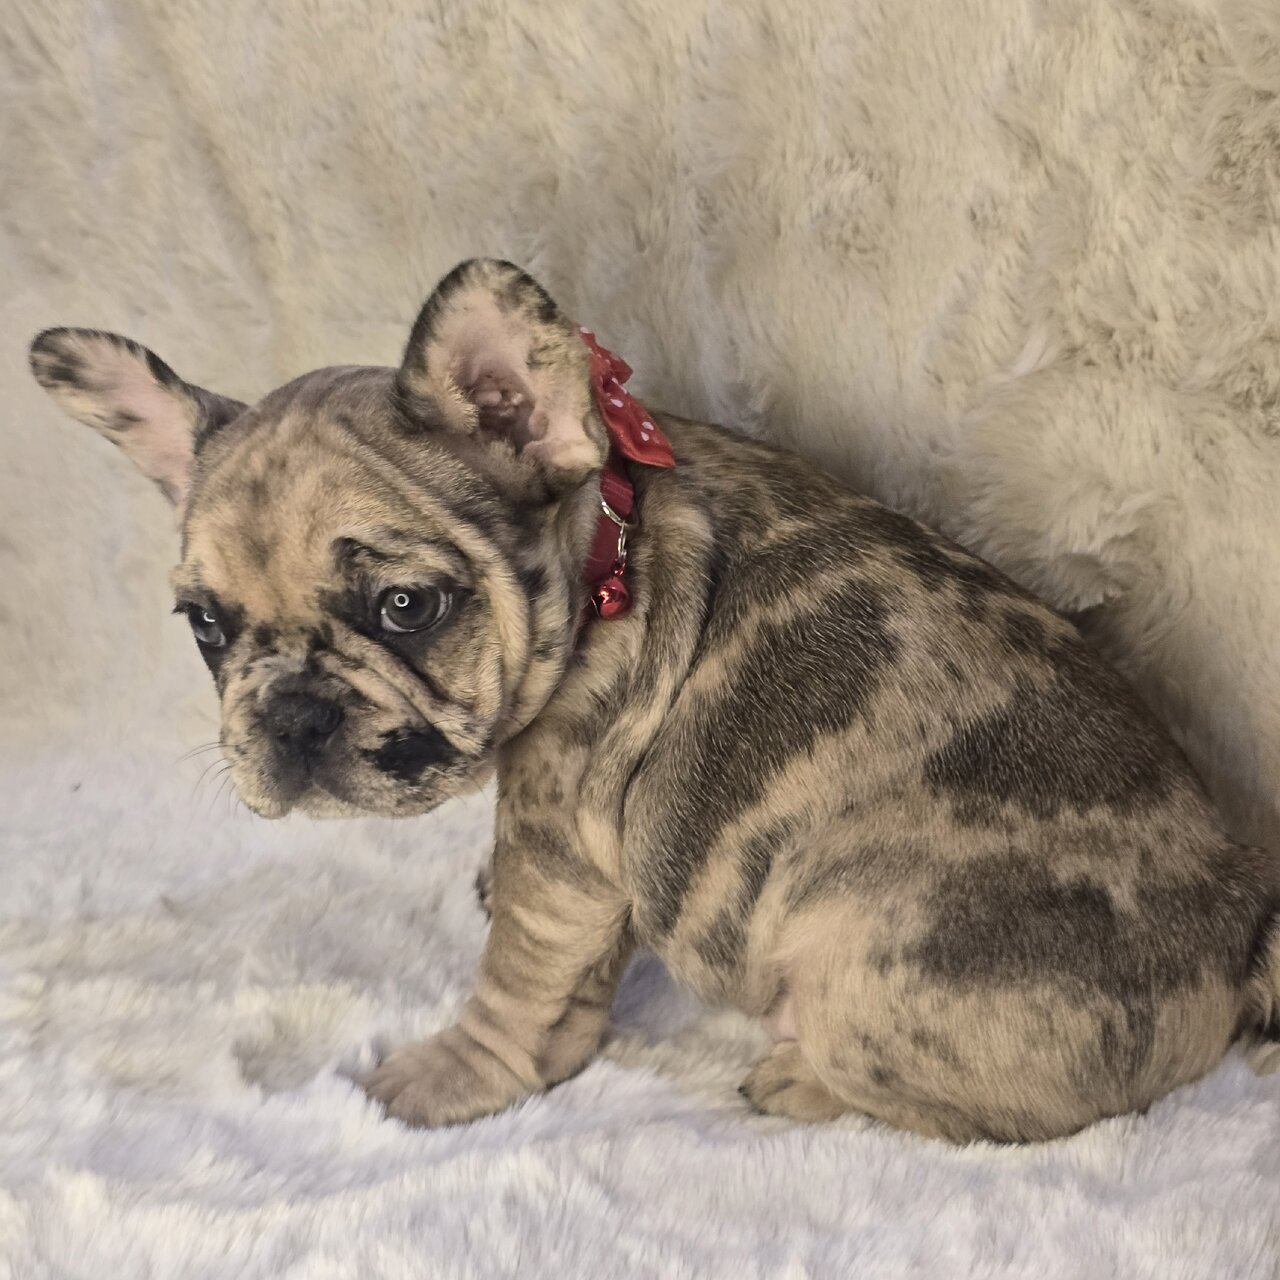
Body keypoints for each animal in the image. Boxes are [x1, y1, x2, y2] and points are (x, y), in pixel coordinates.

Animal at [29, 258, 1280, 1142]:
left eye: (403, 606)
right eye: (204, 625)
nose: (288, 716)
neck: (600, 549)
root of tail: (1239, 928)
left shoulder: (559, 851)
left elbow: (512, 987)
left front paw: (447, 1076)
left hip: (866, 951)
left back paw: (796, 1077)